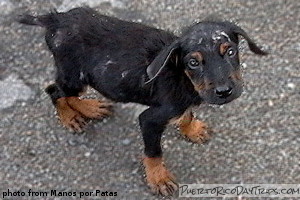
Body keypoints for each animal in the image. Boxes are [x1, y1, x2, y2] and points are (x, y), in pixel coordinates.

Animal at [18, 7, 268, 196]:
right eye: (193, 63)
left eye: (231, 51)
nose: (224, 91)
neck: (182, 76)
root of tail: (55, 19)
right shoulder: (151, 119)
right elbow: (154, 153)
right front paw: (158, 178)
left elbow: (187, 113)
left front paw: (192, 129)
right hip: (74, 75)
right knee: (54, 91)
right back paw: (71, 116)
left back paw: (89, 108)